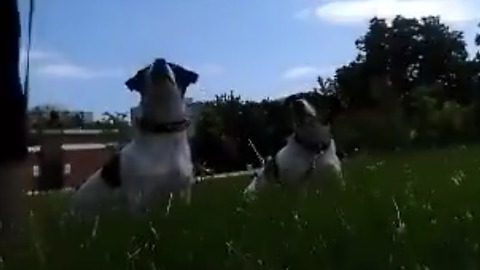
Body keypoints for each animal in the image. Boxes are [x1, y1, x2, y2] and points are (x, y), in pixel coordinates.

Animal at [70, 58, 198, 216]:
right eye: (146, 69)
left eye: (173, 66)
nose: (159, 60)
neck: (163, 133)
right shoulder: (139, 198)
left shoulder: (182, 192)